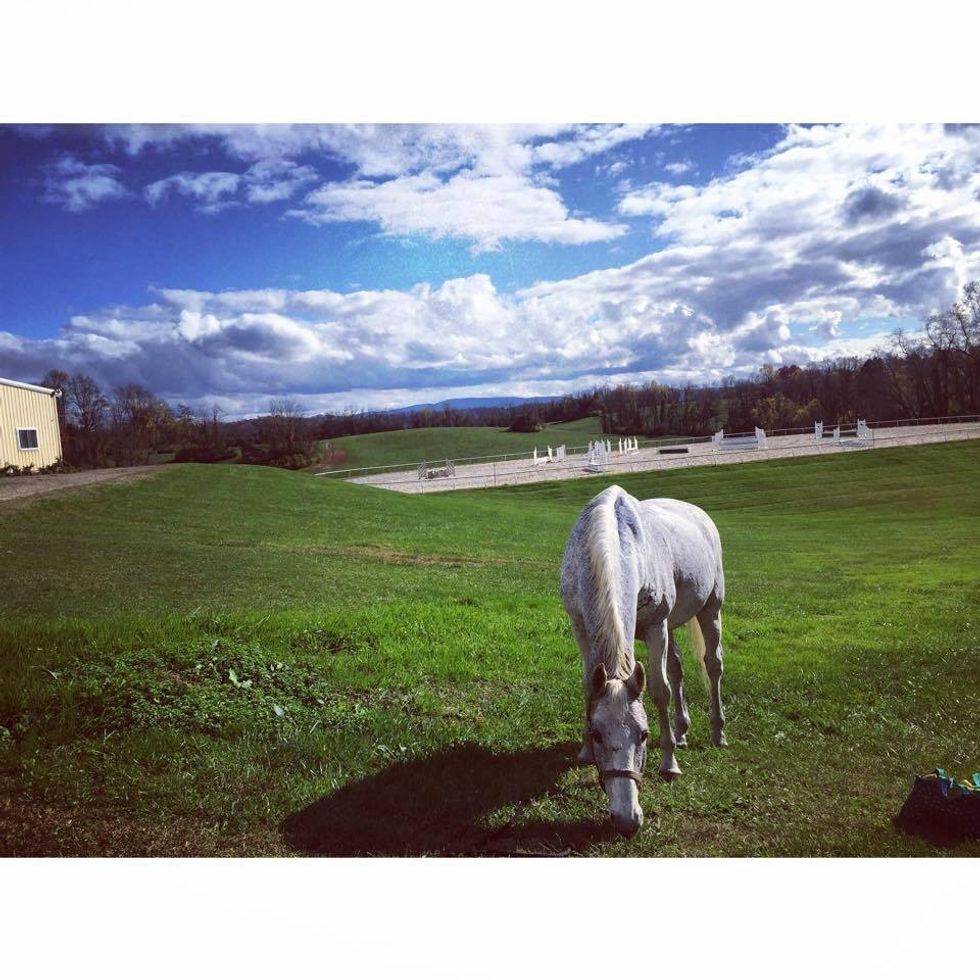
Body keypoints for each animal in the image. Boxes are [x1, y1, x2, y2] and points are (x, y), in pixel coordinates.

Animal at [559, 484, 727, 836]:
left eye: (644, 735)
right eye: (597, 734)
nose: (627, 819)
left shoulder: (655, 625)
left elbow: (660, 691)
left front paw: (669, 764)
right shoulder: (580, 626)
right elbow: (588, 687)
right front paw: (584, 752)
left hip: (710, 609)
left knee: (712, 665)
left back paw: (718, 733)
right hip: (675, 624)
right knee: (677, 667)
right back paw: (682, 732)